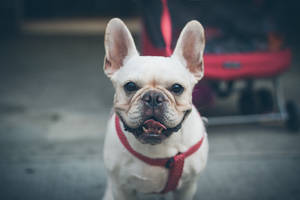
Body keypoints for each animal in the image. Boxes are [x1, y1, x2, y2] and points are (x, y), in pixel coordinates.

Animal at [102, 18, 207, 199]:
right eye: (130, 86)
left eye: (177, 88)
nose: (152, 97)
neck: (158, 148)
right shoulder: (121, 188)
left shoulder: (187, 187)